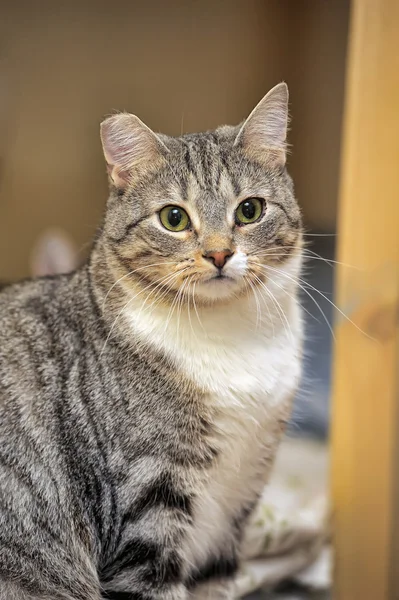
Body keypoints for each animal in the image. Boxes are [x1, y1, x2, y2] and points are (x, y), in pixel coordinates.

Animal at [0, 83, 304, 600]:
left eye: (250, 210)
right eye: (174, 218)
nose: (219, 253)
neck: (229, 338)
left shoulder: (236, 509)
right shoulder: (147, 506)